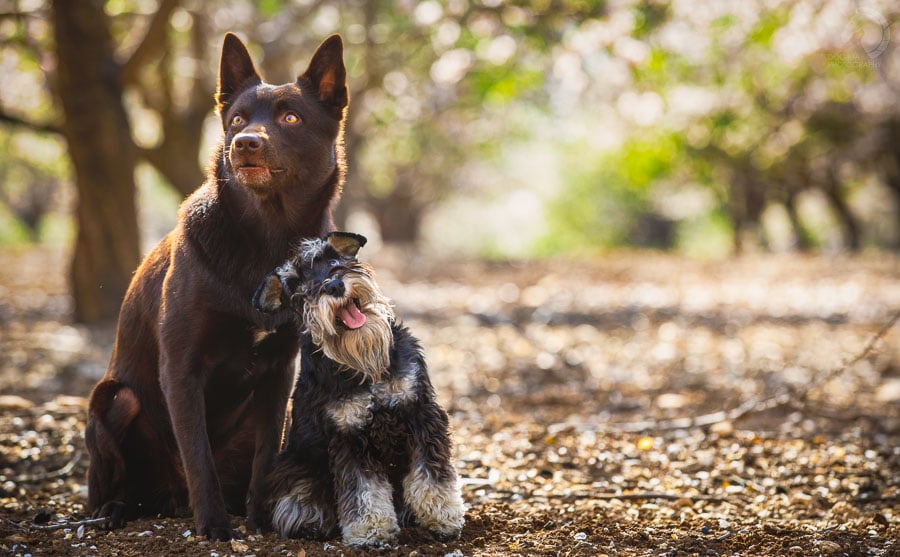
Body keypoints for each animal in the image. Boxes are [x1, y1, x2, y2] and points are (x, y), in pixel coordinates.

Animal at [85, 33, 348, 540]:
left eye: (291, 117)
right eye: (238, 120)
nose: (244, 143)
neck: (265, 238)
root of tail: (165, 498)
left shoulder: (279, 372)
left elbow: (266, 455)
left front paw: (260, 519)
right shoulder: (181, 368)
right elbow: (198, 455)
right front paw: (212, 527)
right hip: (114, 400)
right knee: (115, 483)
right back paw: (115, 510)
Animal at [251, 231, 464, 548]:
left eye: (332, 261)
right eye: (297, 285)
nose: (334, 286)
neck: (365, 365)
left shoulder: (420, 411)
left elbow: (432, 474)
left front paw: (442, 517)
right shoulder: (349, 433)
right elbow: (363, 489)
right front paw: (370, 531)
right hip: (297, 465)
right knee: (298, 499)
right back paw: (309, 522)